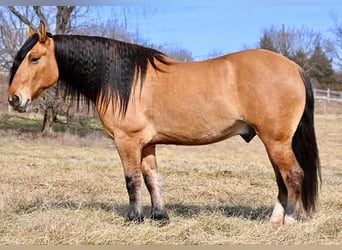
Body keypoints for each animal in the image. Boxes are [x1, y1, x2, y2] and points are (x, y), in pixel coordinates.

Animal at [7, 21, 320, 225]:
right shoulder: (147, 144)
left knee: (294, 175)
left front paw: (134, 219)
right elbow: (152, 179)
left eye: (34, 58)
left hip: (276, 141)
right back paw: (275, 221)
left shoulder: (127, 141)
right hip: (273, 142)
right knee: (282, 180)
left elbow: (132, 180)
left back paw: (290, 222)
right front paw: (160, 217)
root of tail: (294, 67)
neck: (124, 82)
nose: (14, 99)